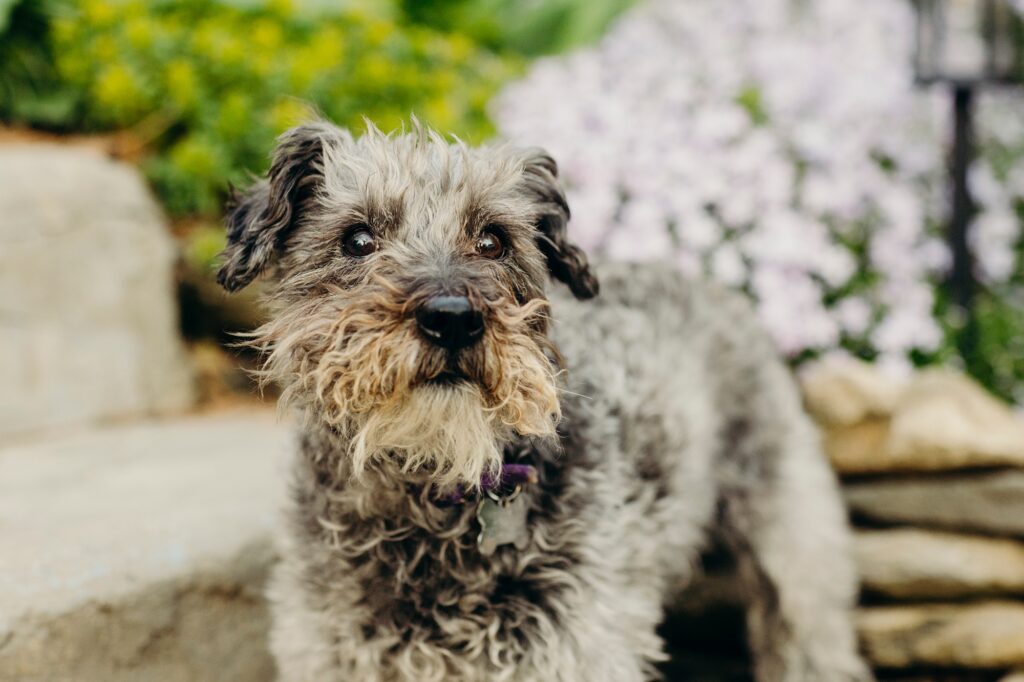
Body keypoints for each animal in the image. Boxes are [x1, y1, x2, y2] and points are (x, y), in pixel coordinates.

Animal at [218, 119, 872, 675]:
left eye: (493, 240)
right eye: (356, 238)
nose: (452, 318)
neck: (430, 497)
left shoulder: (579, 643)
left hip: (794, 551)